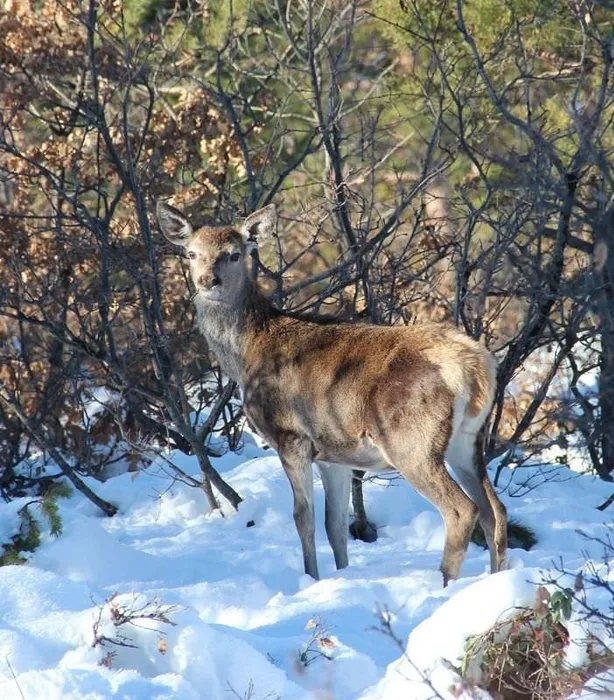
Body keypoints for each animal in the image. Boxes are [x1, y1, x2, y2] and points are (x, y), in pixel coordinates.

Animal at [159, 200, 510, 584]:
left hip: (411, 441)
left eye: (234, 254)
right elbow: (336, 524)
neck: (246, 353)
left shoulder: (290, 436)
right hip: (468, 439)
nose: (209, 280)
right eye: (192, 253)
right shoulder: (333, 453)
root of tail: (475, 366)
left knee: (462, 510)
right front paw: (342, 574)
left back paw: (444, 584)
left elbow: (304, 519)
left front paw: (311, 579)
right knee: (496, 510)